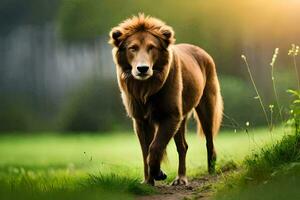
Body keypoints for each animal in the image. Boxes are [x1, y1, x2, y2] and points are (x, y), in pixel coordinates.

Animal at [108, 13, 223, 186]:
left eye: (151, 47)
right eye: (132, 48)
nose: (142, 69)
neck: (146, 87)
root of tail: (202, 51)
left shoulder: (171, 116)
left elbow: (155, 147)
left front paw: (157, 173)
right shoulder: (141, 120)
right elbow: (146, 151)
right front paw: (148, 180)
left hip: (206, 107)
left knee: (209, 140)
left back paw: (207, 171)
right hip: (181, 118)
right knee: (183, 146)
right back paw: (180, 177)